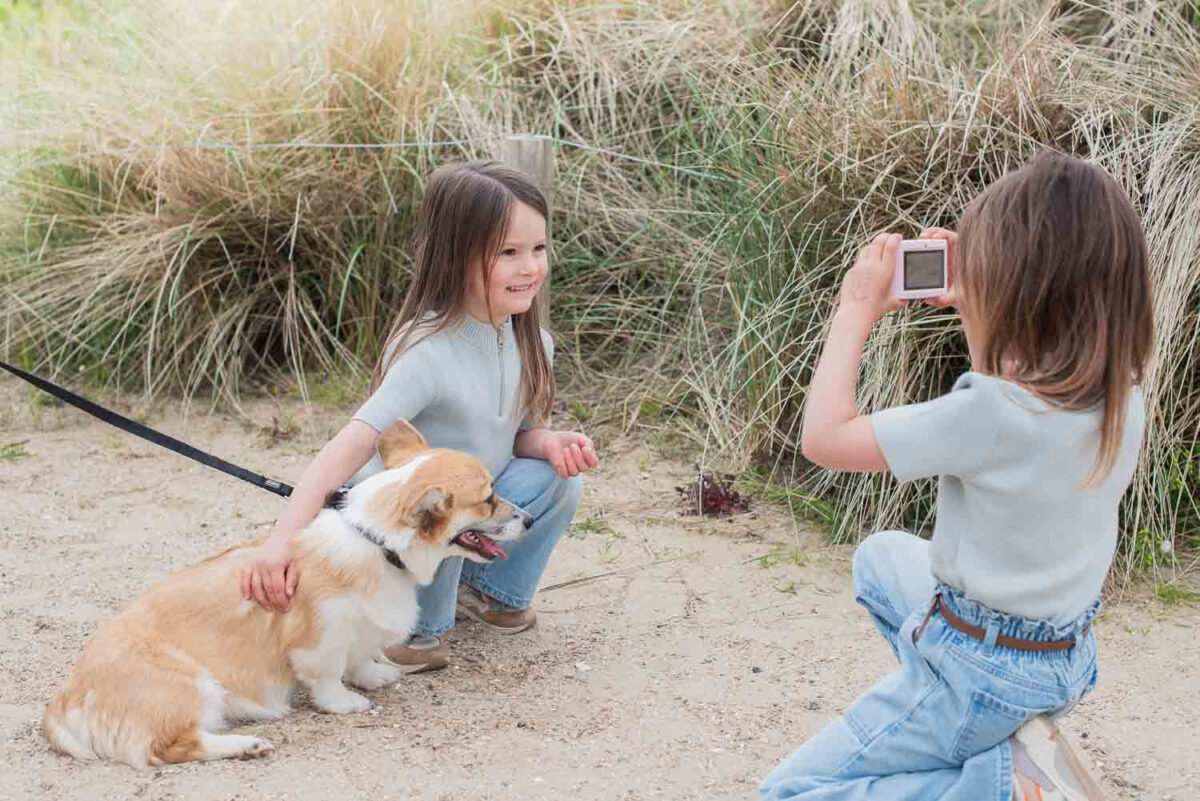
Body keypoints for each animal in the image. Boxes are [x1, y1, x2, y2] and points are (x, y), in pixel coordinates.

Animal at [43, 422, 530, 767]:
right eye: (489, 498)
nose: (528, 519)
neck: (376, 543)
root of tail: (66, 701)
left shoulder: (358, 631)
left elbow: (360, 659)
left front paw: (374, 676)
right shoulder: (321, 639)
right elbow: (330, 676)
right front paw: (346, 702)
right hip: (193, 686)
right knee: (167, 747)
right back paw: (248, 744)